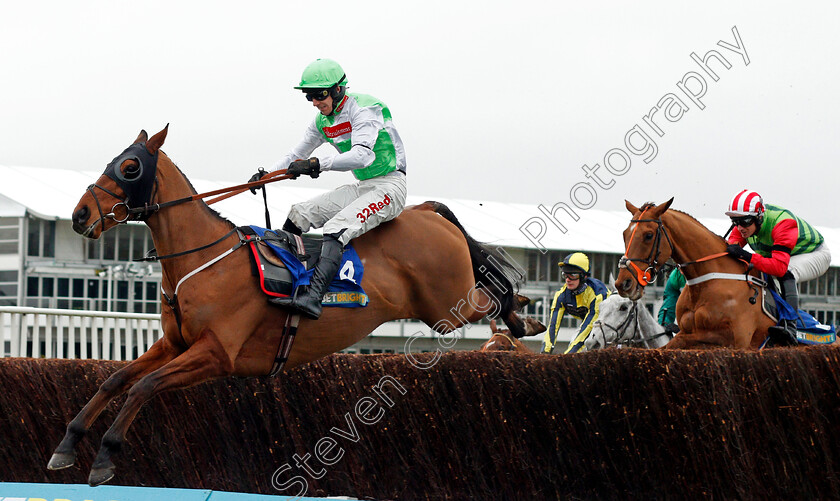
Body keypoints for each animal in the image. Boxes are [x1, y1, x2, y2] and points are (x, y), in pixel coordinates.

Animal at [47, 126, 544, 484]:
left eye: (130, 166)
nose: (80, 215)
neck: (204, 260)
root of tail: (421, 211)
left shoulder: (217, 353)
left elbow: (143, 387)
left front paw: (105, 456)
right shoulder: (175, 344)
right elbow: (115, 379)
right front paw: (67, 445)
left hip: (448, 304)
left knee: (491, 292)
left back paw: (523, 319)